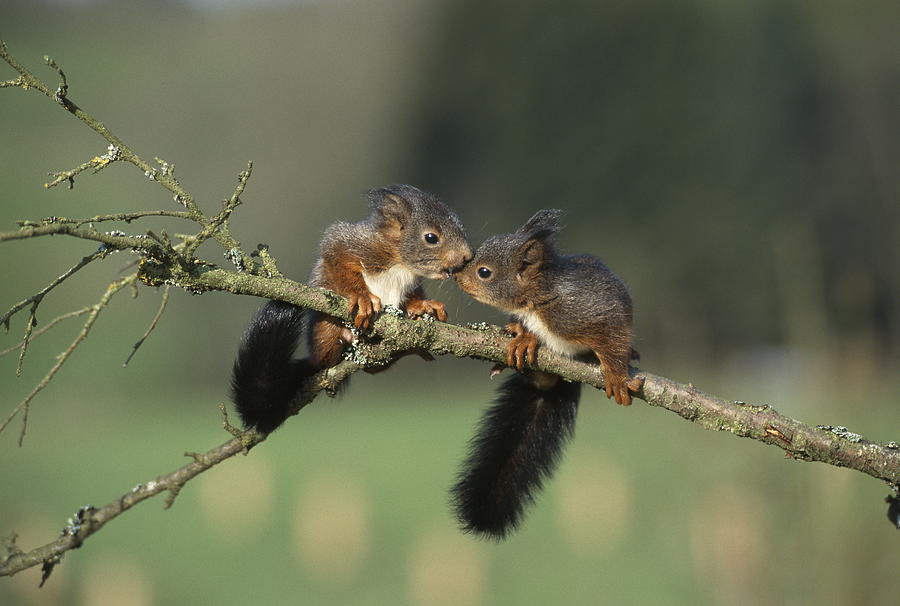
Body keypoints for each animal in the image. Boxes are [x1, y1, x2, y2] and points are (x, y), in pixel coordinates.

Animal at [230, 183, 472, 434]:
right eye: (431, 237)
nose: (468, 256)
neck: (400, 261)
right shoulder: (350, 243)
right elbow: (337, 260)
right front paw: (362, 297)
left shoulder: (410, 284)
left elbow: (413, 296)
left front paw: (425, 306)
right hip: (325, 331)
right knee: (330, 358)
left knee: (374, 367)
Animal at [450, 210, 640, 540]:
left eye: (484, 272)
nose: (456, 275)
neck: (537, 299)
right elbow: (525, 328)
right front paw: (525, 337)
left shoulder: (589, 313)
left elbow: (613, 338)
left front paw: (617, 374)